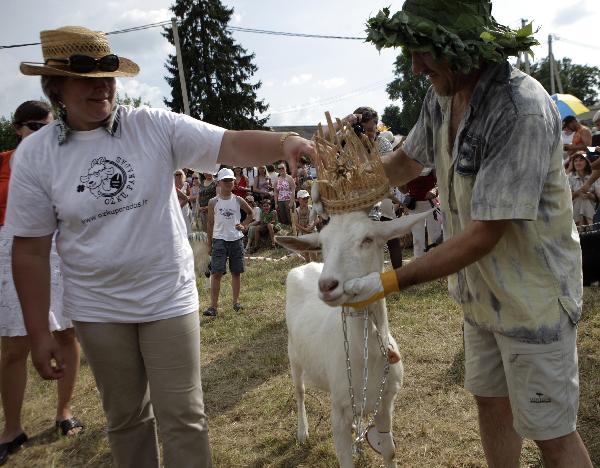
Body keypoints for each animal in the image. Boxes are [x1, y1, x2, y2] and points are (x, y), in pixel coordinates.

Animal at [276, 211, 426, 468]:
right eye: (322, 244)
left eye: (368, 239)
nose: (327, 285)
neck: (367, 357)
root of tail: (306, 265)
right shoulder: (338, 413)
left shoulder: (385, 403)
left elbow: (389, 452)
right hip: (293, 355)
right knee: (299, 391)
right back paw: (302, 432)